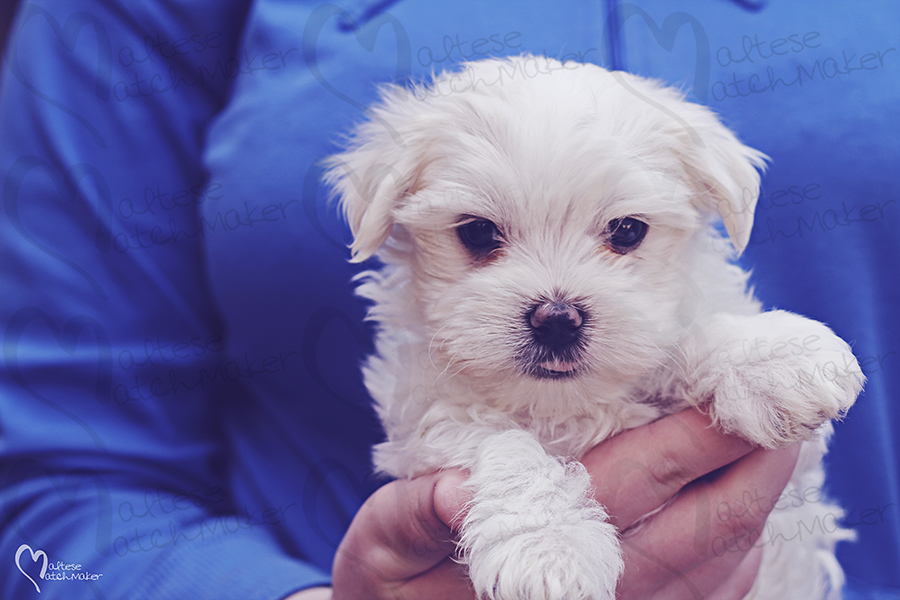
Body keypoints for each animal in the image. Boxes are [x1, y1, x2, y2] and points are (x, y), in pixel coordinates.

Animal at [324, 55, 864, 600]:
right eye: (476, 232)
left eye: (627, 230)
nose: (557, 319)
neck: (564, 407)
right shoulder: (422, 422)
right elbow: (500, 443)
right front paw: (549, 546)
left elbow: (680, 339)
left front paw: (775, 358)